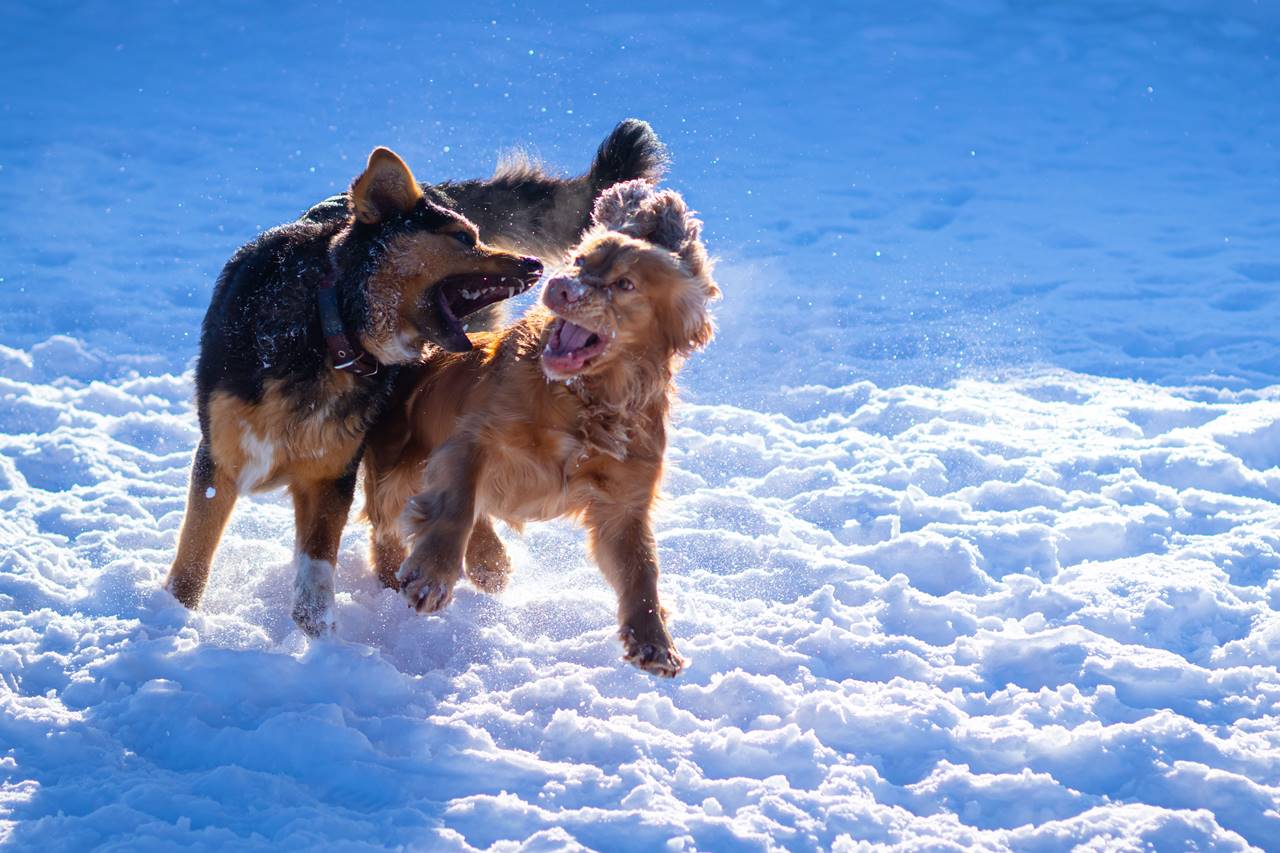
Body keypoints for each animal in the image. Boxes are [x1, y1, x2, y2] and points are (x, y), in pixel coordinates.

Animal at [163, 119, 665, 630]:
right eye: (463, 238)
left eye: (477, 235)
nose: (533, 265)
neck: (329, 328)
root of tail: (437, 186)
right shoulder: (220, 459)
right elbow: (194, 554)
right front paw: (173, 617)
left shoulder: (333, 475)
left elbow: (318, 569)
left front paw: (319, 631)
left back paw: (474, 560)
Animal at [363, 183, 721, 676]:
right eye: (580, 262)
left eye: (625, 285)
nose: (560, 286)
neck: (585, 401)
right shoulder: (473, 437)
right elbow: (457, 504)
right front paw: (432, 573)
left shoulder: (624, 505)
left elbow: (642, 570)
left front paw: (654, 641)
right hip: (396, 466)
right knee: (387, 520)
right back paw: (411, 568)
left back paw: (488, 561)